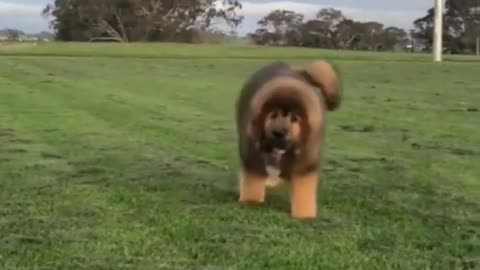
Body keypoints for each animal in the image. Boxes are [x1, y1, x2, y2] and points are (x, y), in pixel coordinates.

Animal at [233, 59, 342, 219]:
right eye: (273, 114)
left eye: (294, 118)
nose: (279, 133)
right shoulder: (253, 157)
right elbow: (253, 182)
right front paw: (251, 202)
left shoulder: (305, 163)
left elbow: (304, 190)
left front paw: (304, 215)